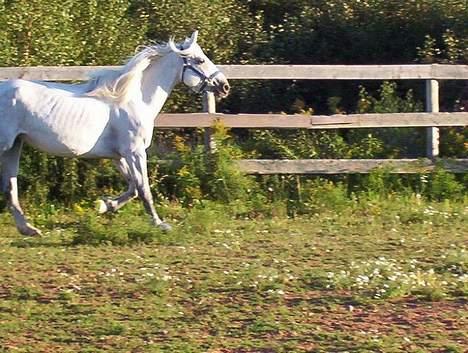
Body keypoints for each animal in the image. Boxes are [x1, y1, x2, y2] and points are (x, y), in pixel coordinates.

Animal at [0, 31, 230, 235]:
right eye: (200, 60)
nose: (224, 86)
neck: (134, 100)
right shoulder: (135, 152)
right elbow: (144, 188)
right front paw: (160, 224)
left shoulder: (118, 156)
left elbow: (133, 188)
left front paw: (104, 205)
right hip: (5, 146)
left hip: (14, 146)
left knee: (10, 187)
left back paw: (29, 229)